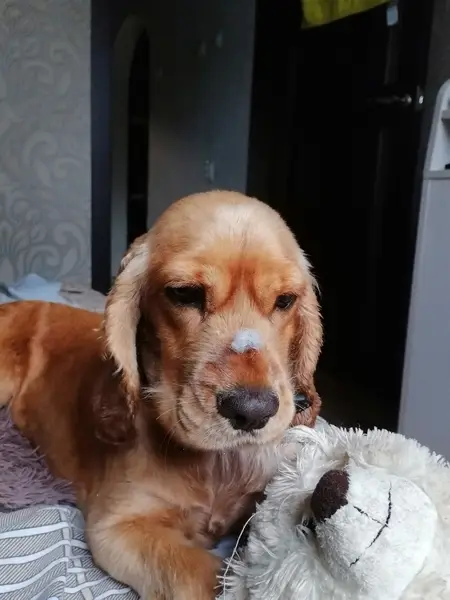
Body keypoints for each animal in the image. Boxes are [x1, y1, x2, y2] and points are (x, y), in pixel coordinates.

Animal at [0, 191, 322, 599]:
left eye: (285, 300)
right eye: (184, 294)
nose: (253, 411)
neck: (215, 464)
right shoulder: (118, 525)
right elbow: (199, 573)